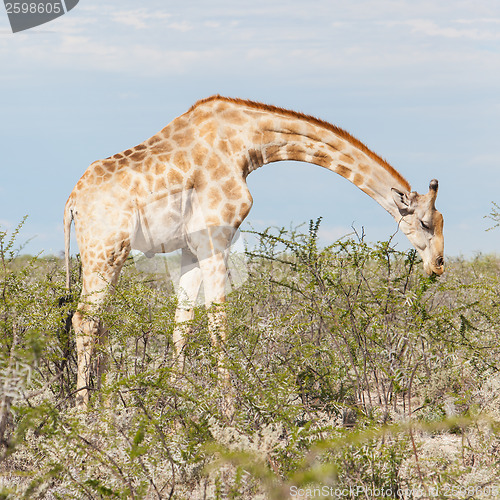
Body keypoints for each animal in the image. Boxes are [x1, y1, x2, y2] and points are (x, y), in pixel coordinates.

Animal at [63, 96, 446, 406]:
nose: (439, 265)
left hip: (108, 255)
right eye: (426, 222)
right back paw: (83, 413)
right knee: (84, 319)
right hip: (105, 251)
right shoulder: (215, 238)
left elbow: (182, 323)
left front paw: (172, 403)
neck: (247, 144)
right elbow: (218, 322)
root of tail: (71, 203)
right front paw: (228, 411)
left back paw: (106, 409)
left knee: (99, 321)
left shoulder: (191, 248)